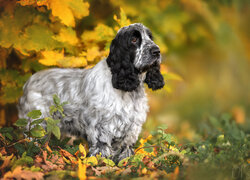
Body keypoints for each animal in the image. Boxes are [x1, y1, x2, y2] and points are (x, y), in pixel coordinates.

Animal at [18, 22, 165, 162]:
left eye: (150, 38)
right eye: (134, 39)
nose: (157, 51)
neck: (127, 90)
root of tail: (28, 82)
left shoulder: (131, 128)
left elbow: (125, 152)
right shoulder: (101, 127)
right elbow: (102, 149)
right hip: (37, 122)